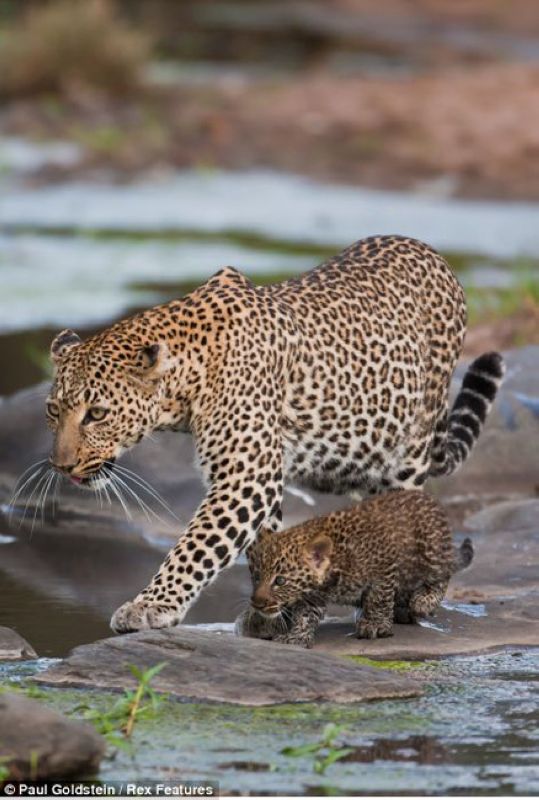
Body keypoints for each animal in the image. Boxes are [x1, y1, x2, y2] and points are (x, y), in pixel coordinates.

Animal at [44, 236, 504, 632]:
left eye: (97, 414)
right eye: (53, 411)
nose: (62, 466)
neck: (187, 380)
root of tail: (430, 252)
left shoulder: (247, 478)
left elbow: (195, 547)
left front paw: (150, 605)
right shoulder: (262, 478)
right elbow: (264, 546)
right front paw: (269, 612)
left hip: (409, 449)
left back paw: (416, 598)